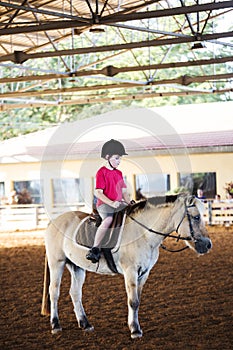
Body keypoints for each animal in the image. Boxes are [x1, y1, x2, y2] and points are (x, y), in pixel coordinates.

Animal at [41, 194, 212, 340]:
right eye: (196, 217)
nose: (208, 245)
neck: (143, 233)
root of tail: (53, 221)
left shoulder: (144, 273)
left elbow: (137, 300)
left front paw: (135, 327)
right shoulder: (130, 271)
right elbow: (133, 301)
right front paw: (135, 330)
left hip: (77, 267)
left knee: (75, 293)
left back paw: (85, 324)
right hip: (57, 263)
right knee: (54, 292)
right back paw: (55, 325)